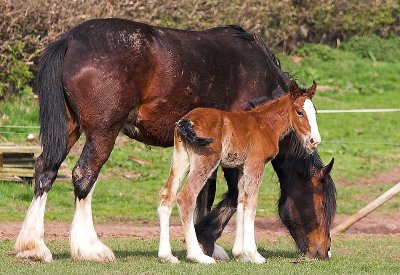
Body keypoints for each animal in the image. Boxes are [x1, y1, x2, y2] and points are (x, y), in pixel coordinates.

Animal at [158, 80, 320, 266]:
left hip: (181, 159)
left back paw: (167, 256)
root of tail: (186, 121)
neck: (265, 124)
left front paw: (240, 255)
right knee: (186, 197)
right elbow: (251, 204)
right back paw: (198, 256)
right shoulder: (255, 164)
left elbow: (242, 202)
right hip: (206, 161)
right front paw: (253, 254)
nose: (314, 141)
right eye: (299, 112)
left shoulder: (242, 168)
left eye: (314, 111)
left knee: (167, 195)